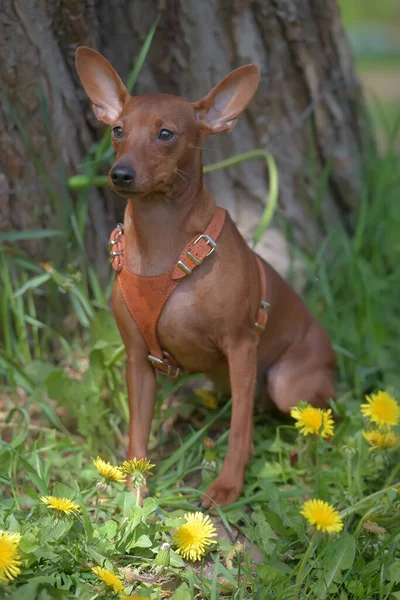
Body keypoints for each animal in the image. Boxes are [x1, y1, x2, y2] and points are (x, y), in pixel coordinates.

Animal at [75, 48, 334, 506]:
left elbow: (239, 432)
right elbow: (137, 439)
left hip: (285, 381)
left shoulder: (242, 347)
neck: (164, 243)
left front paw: (227, 486)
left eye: (166, 134)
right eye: (118, 130)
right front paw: (134, 498)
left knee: (318, 418)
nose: (120, 174)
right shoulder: (138, 361)